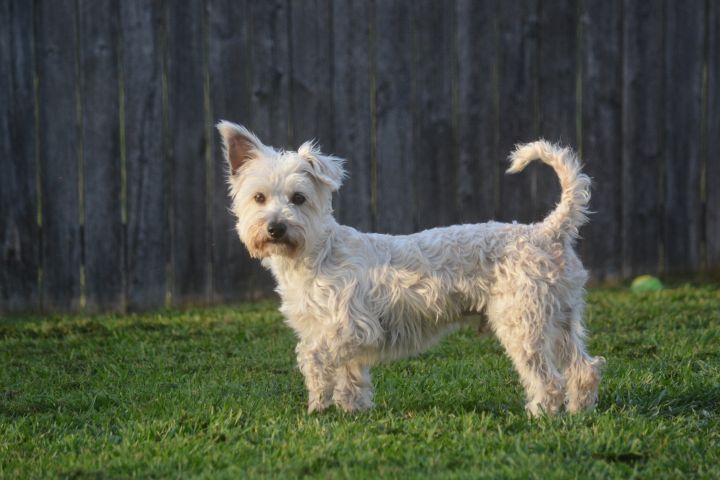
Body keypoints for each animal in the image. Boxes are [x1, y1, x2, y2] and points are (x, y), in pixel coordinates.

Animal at [217, 123, 604, 416]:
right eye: (259, 198)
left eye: (298, 198)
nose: (275, 228)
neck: (317, 253)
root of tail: (548, 230)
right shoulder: (337, 334)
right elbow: (350, 376)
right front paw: (350, 410)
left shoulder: (351, 328)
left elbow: (312, 357)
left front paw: (317, 407)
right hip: (561, 319)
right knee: (584, 369)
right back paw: (578, 412)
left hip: (523, 324)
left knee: (549, 379)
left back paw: (540, 415)